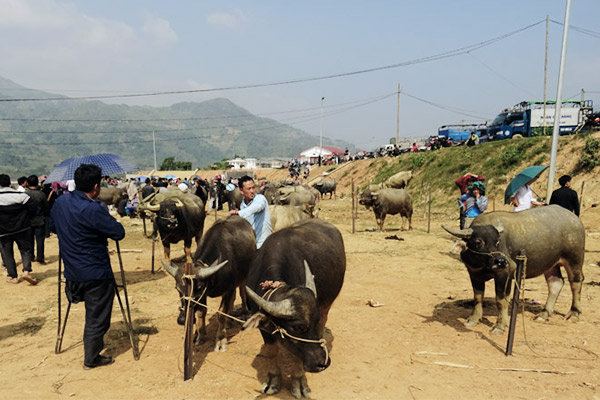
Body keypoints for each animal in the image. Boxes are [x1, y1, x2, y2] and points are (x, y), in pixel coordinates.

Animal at [161, 216, 254, 350]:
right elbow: (201, 312)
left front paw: (221, 340)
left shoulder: (228, 289)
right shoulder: (204, 295)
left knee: (242, 293)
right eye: (177, 289)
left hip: (244, 275)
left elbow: (221, 314)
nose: (182, 319)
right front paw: (200, 335)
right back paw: (229, 321)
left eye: (198, 288)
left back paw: (245, 313)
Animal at [244, 217, 346, 398]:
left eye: (314, 322)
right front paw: (272, 380)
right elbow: (272, 352)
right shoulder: (264, 327)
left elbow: (298, 355)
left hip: (327, 304)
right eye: (297, 328)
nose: (323, 363)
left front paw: (299, 383)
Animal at [442, 205, 584, 332]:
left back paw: (574, 313)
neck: (482, 264)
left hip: (575, 260)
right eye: (478, 242)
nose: (501, 261)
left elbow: (501, 300)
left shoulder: (505, 273)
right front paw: (473, 319)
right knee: (555, 283)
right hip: (551, 264)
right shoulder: (473, 273)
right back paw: (544, 314)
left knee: (575, 282)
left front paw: (500, 325)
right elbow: (477, 297)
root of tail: (574, 218)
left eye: (497, 242)